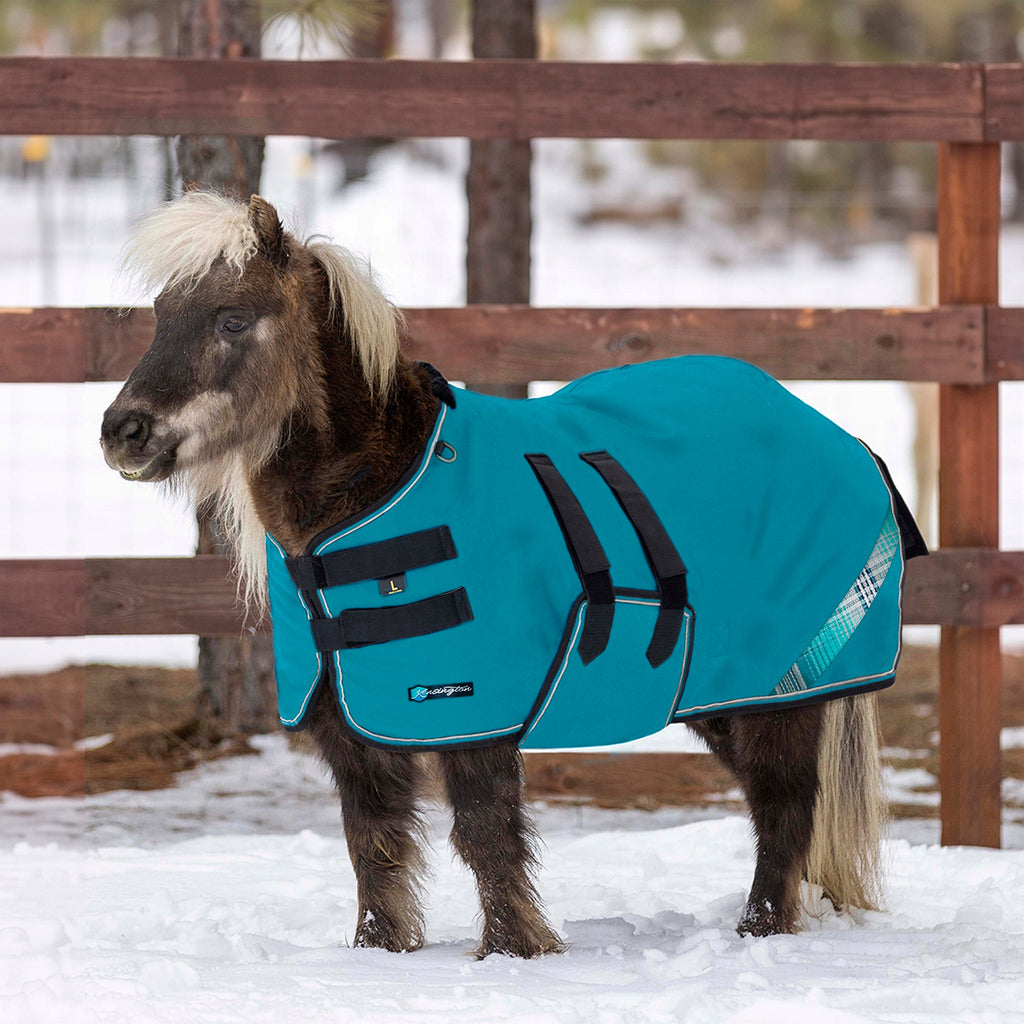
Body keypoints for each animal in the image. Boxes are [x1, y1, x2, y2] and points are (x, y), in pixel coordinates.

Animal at [101, 192, 901, 959]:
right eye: (161, 315)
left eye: (233, 319)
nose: (122, 433)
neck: (376, 496)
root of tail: (832, 433)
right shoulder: (348, 728)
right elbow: (373, 842)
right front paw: (376, 953)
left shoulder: (475, 716)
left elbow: (484, 835)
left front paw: (515, 952)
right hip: (726, 693)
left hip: (777, 693)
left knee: (783, 802)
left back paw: (760, 932)